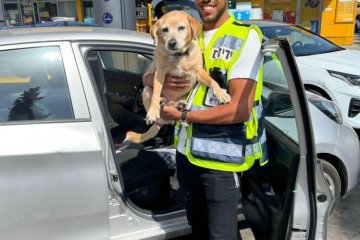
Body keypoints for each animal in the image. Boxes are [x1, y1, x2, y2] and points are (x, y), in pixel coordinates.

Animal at [124, 10, 231, 143]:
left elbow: (213, 81)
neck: (178, 56)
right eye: (165, 30)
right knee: (155, 99)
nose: (172, 43)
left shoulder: (199, 72)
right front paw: (153, 111)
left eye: (181, 28)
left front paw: (221, 94)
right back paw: (162, 103)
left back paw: (180, 104)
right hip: (146, 90)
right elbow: (156, 93)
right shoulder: (159, 74)